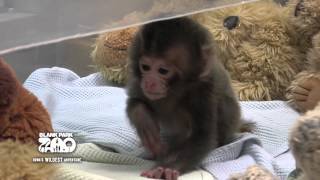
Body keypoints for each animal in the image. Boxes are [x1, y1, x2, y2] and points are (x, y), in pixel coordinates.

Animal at [126, 17, 241, 180]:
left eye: (163, 71)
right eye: (145, 67)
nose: (149, 82)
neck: (175, 90)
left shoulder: (203, 92)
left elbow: (202, 136)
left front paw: (167, 166)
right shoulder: (139, 83)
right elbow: (135, 102)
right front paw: (144, 123)